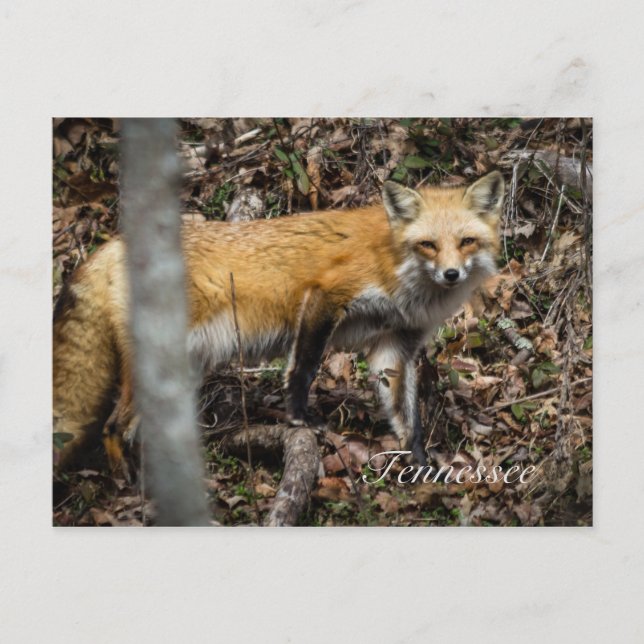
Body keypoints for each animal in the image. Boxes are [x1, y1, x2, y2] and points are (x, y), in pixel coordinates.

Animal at [53, 171, 504, 471]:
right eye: (428, 245)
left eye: (466, 242)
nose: (451, 275)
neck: (398, 268)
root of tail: (113, 244)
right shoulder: (325, 295)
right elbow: (302, 368)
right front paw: (300, 418)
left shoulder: (394, 344)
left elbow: (408, 414)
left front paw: (419, 463)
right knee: (112, 428)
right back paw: (128, 485)